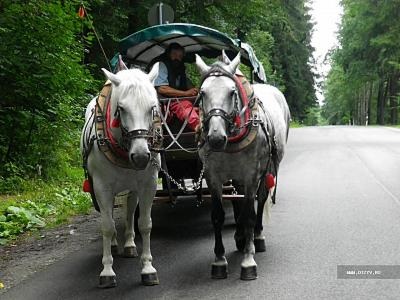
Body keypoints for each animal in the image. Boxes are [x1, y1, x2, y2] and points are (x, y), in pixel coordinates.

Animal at [79, 61, 161, 288]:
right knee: (110, 219)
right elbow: (107, 226)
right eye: (121, 109)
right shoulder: (101, 187)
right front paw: (107, 271)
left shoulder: (148, 183)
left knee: (130, 209)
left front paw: (148, 268)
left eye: (152, 108)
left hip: (132, 186)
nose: (141, 156)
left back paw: (130, 244)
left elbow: (145, 223)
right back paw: (116, 244)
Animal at [195, 52, 290, 280]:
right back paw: (239, 237)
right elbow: (218, 216)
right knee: (237, 198)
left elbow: (249, 215)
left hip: (270, 167)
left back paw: (257, 237)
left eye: (232, 92)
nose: (216, 138)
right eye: (202, 93)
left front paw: (248, 260)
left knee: (261, 199)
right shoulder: (213, 176)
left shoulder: (251, 176)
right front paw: (219, 260)